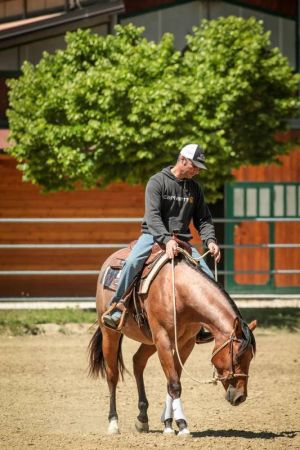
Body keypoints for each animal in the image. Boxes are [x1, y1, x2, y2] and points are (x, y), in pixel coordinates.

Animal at [88, 250, 256, 436]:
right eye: (236, 359)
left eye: (250, 359)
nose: (240, 396)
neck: (178, 292)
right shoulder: (163, 339)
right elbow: (174, 384)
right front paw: (182, 424)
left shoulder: (186, 343)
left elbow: (173, 379)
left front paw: (168, 422)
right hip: (110, 333)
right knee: (112, 375)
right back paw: (113, 423)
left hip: (150, 341)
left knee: (138, 361)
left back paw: (142, 418)